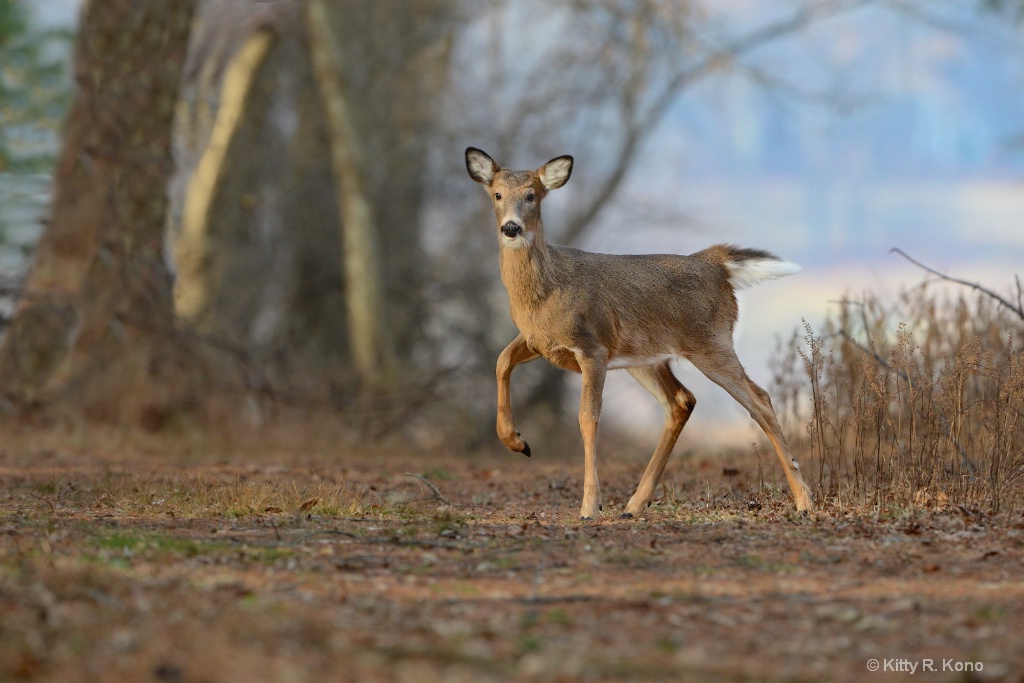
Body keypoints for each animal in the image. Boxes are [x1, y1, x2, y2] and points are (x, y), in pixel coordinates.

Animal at [466, 145, 815, 518]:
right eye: (497, 194)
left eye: (532, 195)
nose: (511, 227)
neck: (544, 291)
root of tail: (714, 263)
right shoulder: (539, 340)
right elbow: (501, 361)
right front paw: (517, 442)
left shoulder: (592, 347)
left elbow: (587, 416)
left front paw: (590, 504)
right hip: (646, 357)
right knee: (682, 401)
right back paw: (634, 503)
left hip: (711, 341)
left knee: (759, 399)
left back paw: (804, 500)